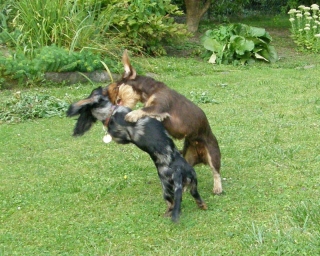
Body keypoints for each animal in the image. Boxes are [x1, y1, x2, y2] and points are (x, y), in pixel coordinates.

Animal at [107, 50, 222, 194]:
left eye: (116, 87)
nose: (108, 97)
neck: (150, 91)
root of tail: (201, 156)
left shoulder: (158, 106)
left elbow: (145, 109)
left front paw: (131, 114)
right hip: (188, 156)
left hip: (213, 154)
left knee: (216, 172)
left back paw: (217, 187)